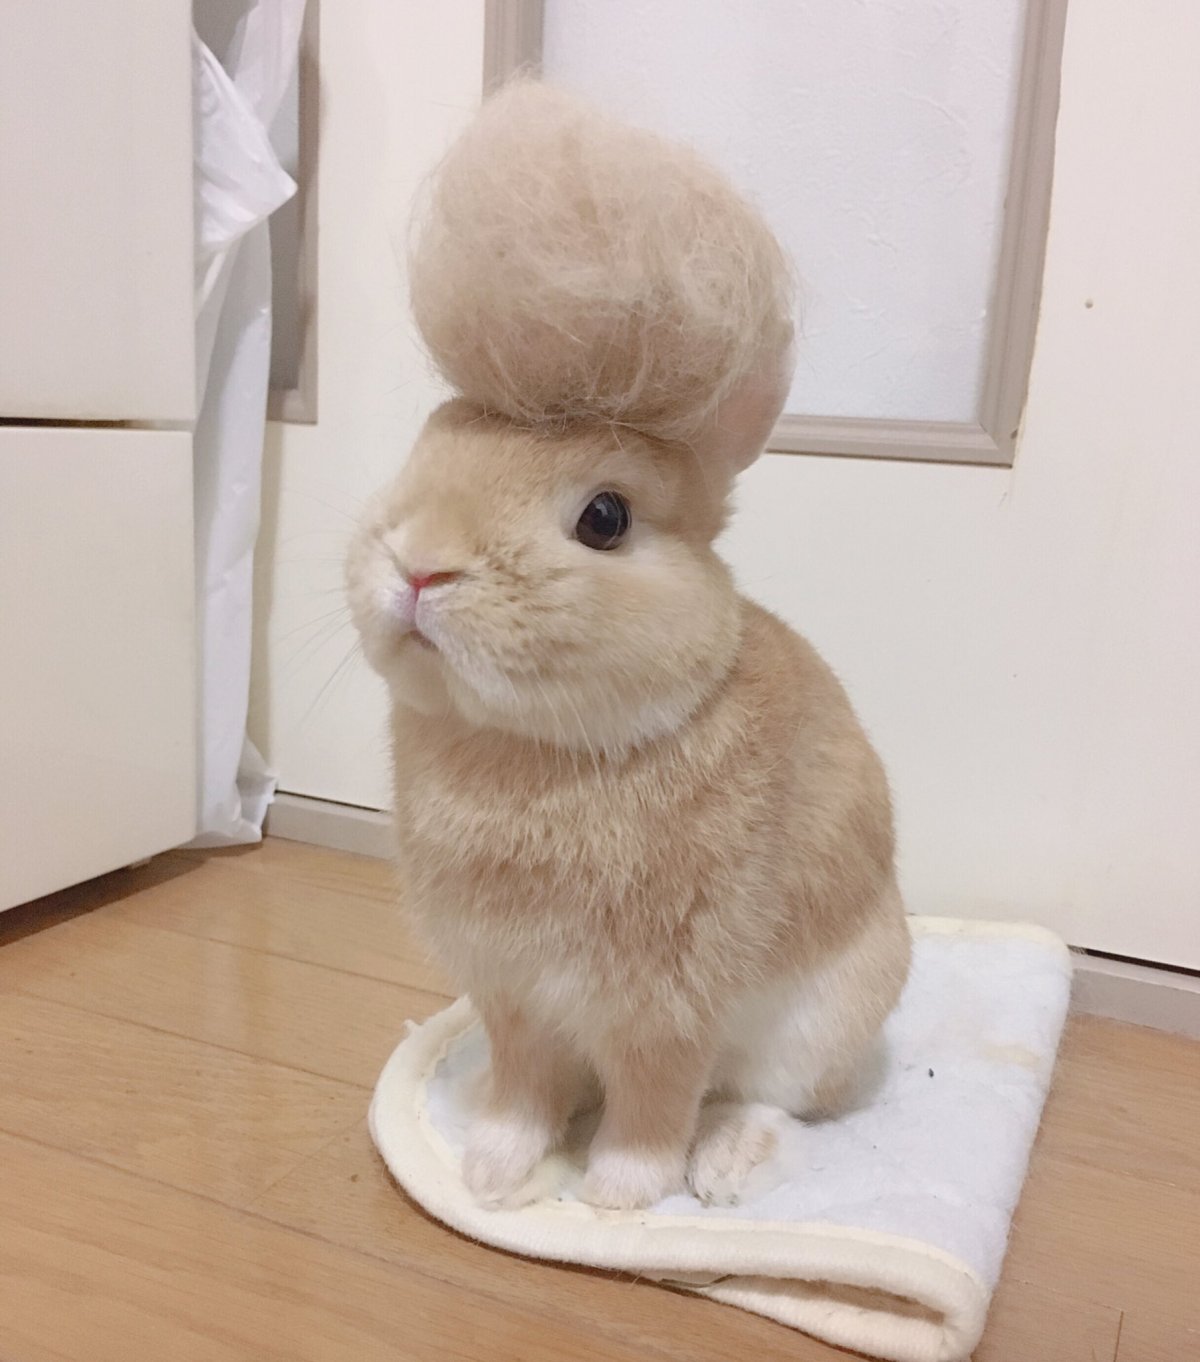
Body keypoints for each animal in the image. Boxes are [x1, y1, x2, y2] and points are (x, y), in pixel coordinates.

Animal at [346, 82, 911, 1212]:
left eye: (604, 519)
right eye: (423, 455)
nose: (420, 565)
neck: (537, 751)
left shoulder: (667, 1002)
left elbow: (657, 1096)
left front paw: (619, 1193)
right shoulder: (513, 995)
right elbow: (522, 1080)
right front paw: (493, 1169)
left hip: (825, 1016)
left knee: (776, 1100)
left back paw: (726, 1166)